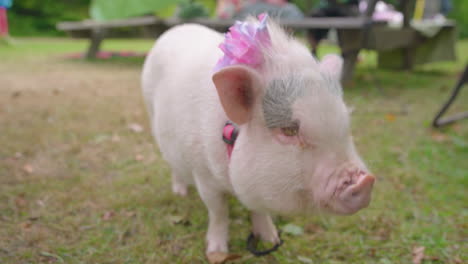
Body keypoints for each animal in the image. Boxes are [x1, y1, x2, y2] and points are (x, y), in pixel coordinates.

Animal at [141, 15, 374, 255]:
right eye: (289, 130)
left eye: (345, 121)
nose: (365, 180)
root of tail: (176, 29)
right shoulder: (204, 175)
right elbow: (218, 211)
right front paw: (216, 253)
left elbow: (259, 210)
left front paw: (271, 240)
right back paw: (181, 193)